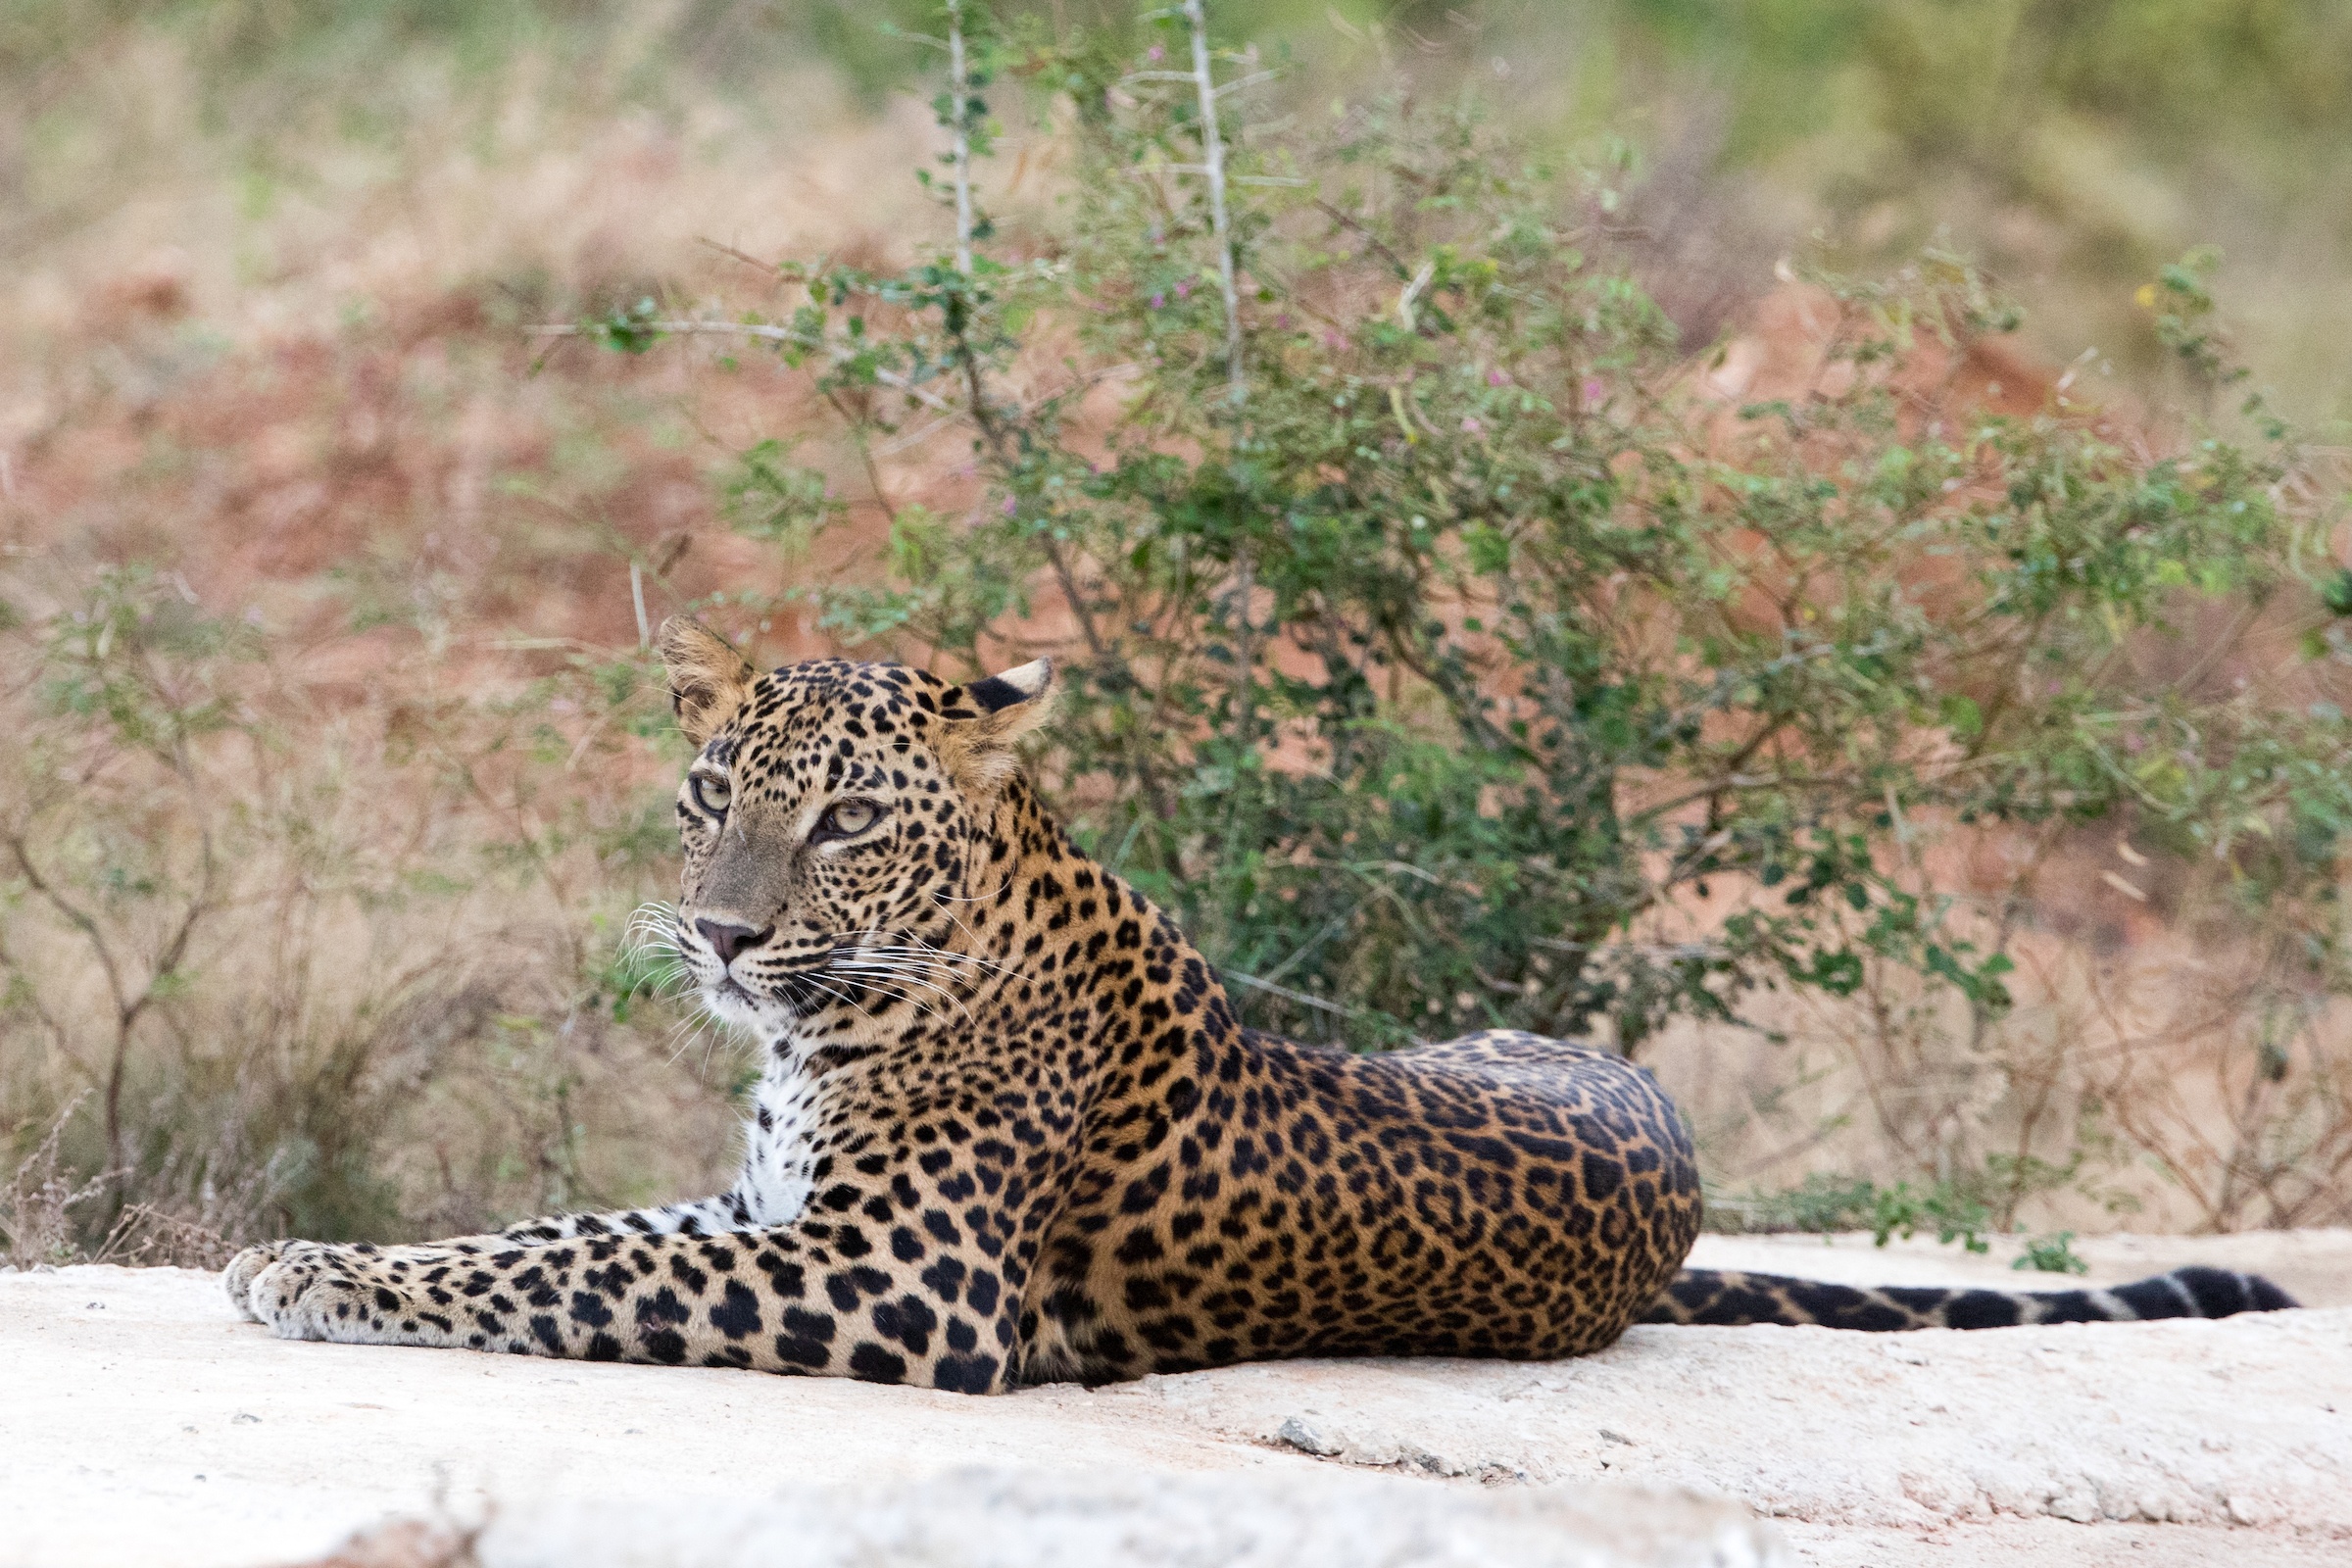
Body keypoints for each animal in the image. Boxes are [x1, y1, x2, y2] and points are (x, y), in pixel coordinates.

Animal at [223, 623, 2299, 1392]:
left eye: (843, 823)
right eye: (707, 793)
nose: (723, 942)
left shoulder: (903, 1283)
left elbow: (575, 1267)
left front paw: (313, 1275)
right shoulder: (767, 1213)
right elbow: (555, 1231)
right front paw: (319, 1252)